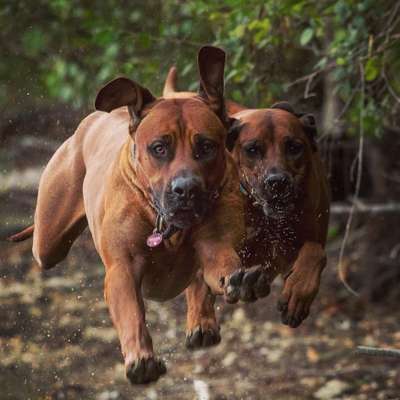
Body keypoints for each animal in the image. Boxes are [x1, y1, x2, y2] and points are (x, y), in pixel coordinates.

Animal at [9, 47, 270, 384]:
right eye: (159, 148)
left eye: (206, 146)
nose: (186, 189)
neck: (166, 224)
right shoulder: (122, 269)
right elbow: (131, 312)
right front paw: (141, 358)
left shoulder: (217, 243)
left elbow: (218, 265)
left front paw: (242, 281)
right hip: (48, 241)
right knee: (44, 247)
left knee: (199, 279)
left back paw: (202, 323)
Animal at [164, 67, 330, 336]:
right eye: (252, 149)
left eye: (294, 147)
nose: (277, 182)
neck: (264, 215)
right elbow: (204, 272)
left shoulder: (296, 247)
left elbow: (315, 252)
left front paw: (298, 292)